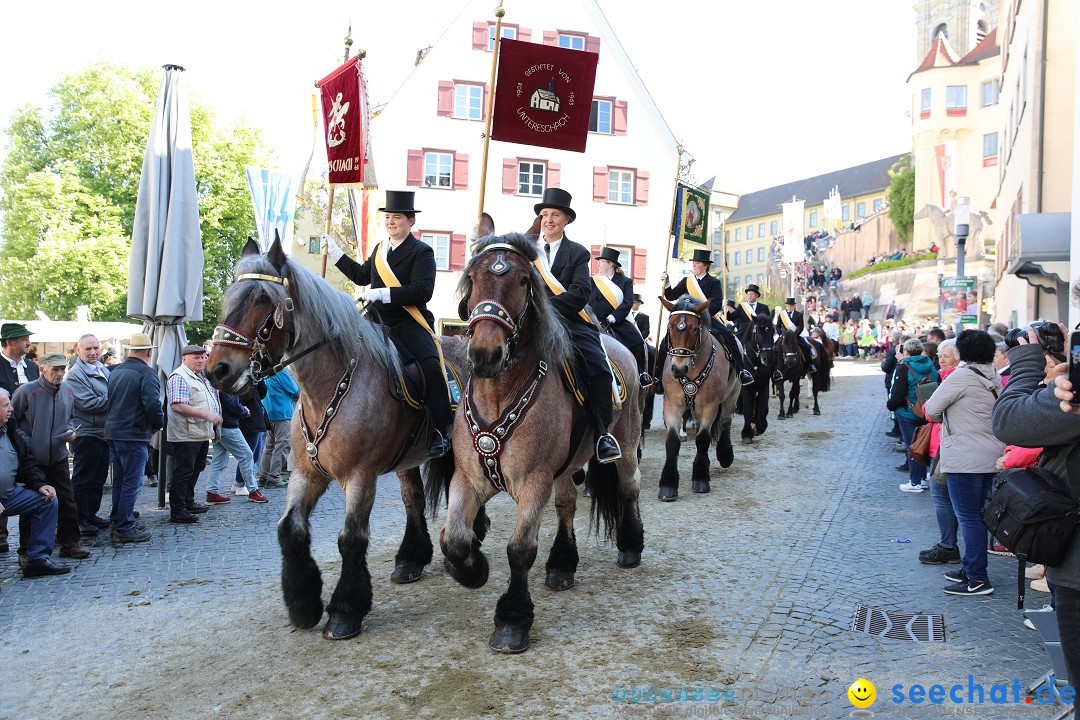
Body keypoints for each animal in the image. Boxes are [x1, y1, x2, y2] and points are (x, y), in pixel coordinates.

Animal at [205, 236, 473, 643]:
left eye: (262, 299)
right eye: (229, 296)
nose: (216, 369)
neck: (330, 387)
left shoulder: (359, 476)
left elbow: (351, 538)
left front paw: (345, 610)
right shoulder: (306, 473)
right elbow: (290, 530)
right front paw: (303, 605)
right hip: (408, 459)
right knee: (412, 500)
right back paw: (410, 559)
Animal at [434, 234, 643, 656]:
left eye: (522, 281)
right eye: (474, 278)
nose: (485, 353)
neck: (499, 394)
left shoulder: (533, 482)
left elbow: (519, 549)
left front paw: (512, 620)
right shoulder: (468, 478)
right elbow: (455, 538)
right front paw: (472, 569)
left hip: (626, 446)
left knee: (629, 489)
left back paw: (630, 545)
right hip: (565, 467)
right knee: (567, 504)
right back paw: (561, 564)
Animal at [652, 293, 738, 500]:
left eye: (693, 328)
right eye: (670, 327)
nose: (678, 369)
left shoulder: (710, 406)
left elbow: (703, 439)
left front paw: (700, 478)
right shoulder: (672, 405)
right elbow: (673, 441)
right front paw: (668, 484)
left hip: (732, 395)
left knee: (725, 422)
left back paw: (725, 455)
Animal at [734, 315, 777, 444]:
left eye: (773, 331)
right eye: (758, 332)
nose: (768, 359)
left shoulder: (764, 385)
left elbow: (763, 408)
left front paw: (760, 426)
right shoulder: (745, 387)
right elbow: (748, 409)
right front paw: (747, 434)